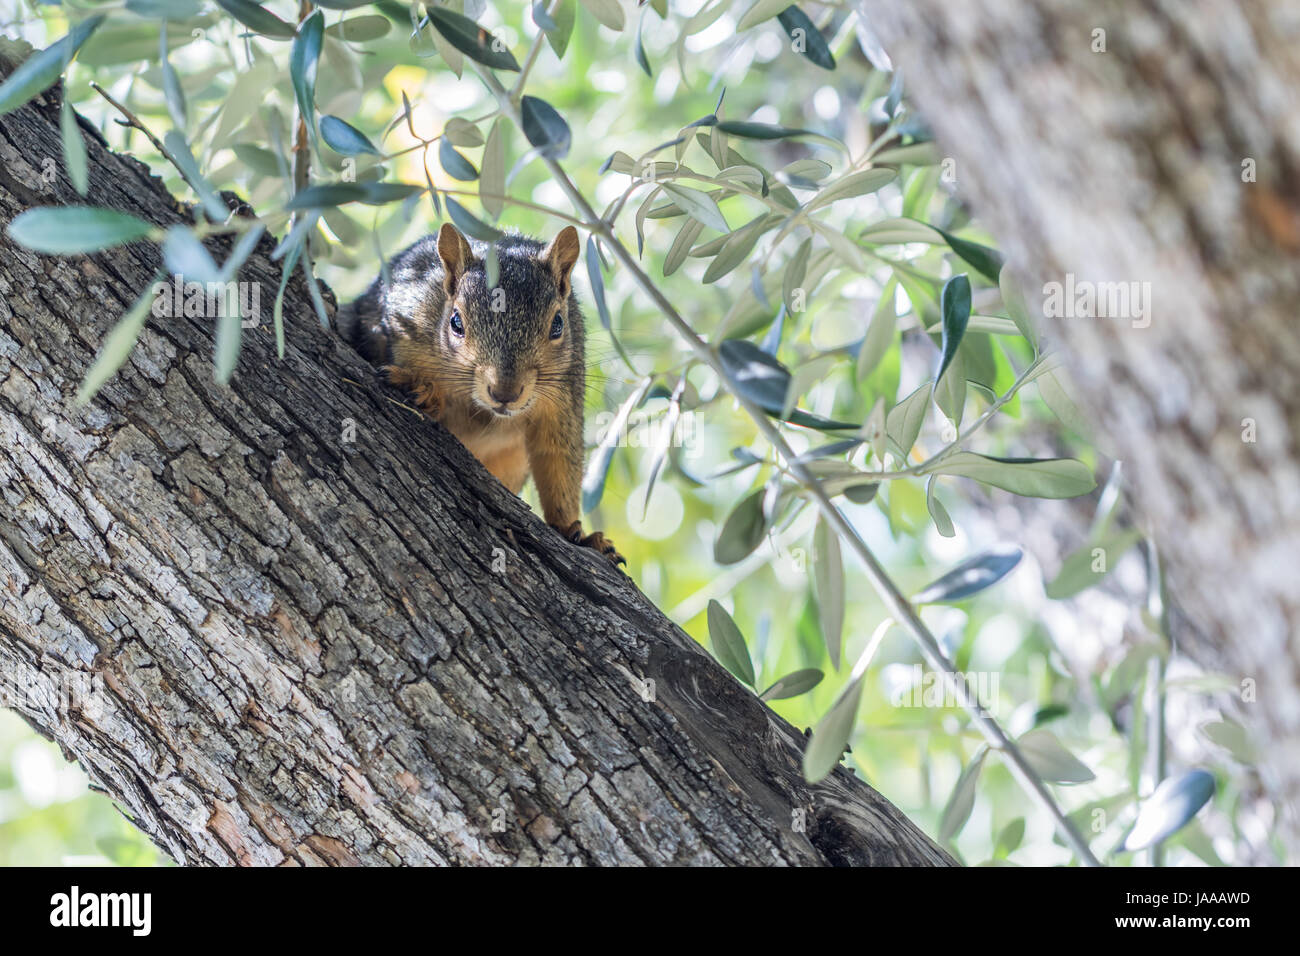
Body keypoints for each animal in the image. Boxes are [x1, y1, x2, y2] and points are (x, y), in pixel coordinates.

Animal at [332, 222, 621, 567]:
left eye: (558, 325)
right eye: (456, 322)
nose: (505, 392)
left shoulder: (563, 395)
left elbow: (559, 459)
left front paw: (576, 532)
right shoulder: (407, 320)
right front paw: (421, 389)